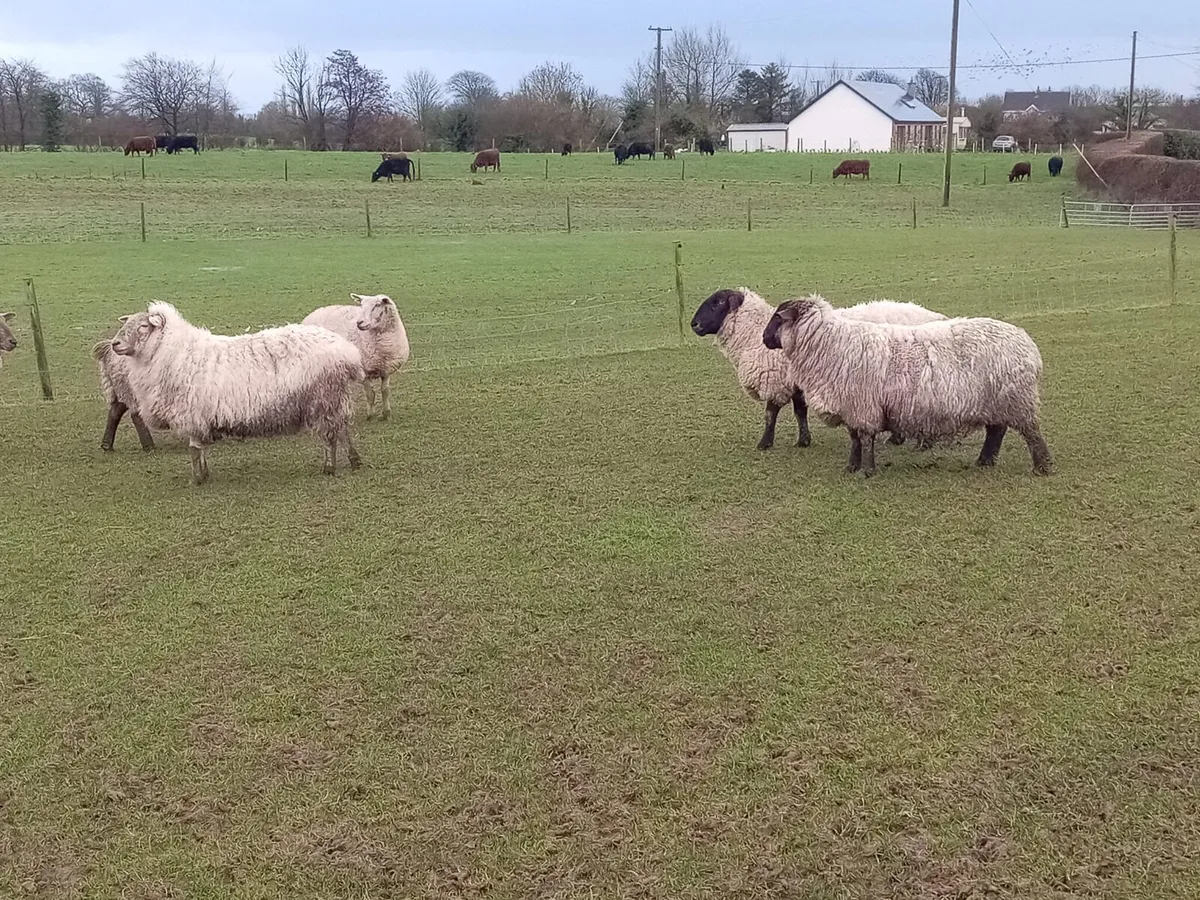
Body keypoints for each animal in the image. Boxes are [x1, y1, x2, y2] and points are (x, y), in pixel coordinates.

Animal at [110, 301, 366, 484]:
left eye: (143, 326)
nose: (115, 344)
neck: (170, 352)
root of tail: (347, 352)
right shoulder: (200, 417)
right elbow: (200, 449)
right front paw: (205, 474)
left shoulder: (192, 413)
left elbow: (194, 449)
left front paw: (197, 480)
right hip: (334, 399)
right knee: (343, 430)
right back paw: (354, 461)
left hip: (324, 397)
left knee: (330, 436)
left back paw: (329, 468)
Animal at [690, 289, 945, 450]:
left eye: (718, 302)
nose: (694, 324)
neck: (751, 335)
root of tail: (936, 316)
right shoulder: (795, 381)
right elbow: (800, 412)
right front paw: (804, 441)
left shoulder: (776, 381)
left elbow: (770, 414)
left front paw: (764, 443)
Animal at [762, 295, 1053, 477]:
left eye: (778, 317)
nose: (764, 339)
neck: (830, 343)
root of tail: (1029, 345)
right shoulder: (852, 405)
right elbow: (855, 438)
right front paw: (852, 467)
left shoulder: (863, 405)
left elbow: (865, 438)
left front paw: (867, 471)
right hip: (996, 401)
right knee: (996, 431)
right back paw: (984, 461)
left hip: (1017, 399)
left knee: (1031, 433)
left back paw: (1042, 467)